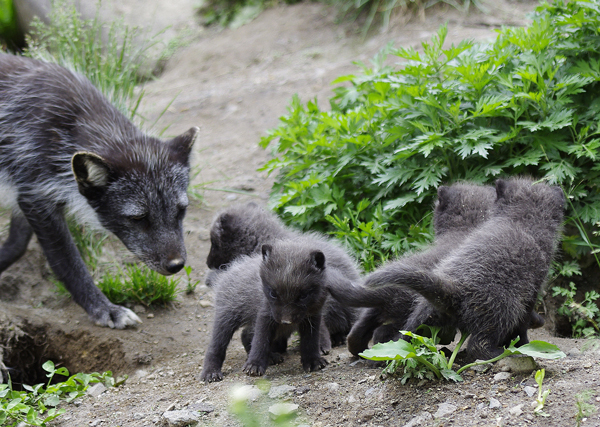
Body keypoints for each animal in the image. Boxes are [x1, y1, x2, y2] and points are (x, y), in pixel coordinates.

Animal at [0, 52, 198, 328]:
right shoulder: (35, 196)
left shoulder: (26, 192)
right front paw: (105, 309)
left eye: (181, 211)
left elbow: (17, 244)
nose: (177, 265)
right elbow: (68, 263)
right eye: (138, 218)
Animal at [202, 236, 360, 382]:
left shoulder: (313, 316)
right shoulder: (266, 314)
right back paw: (211, 372)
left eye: (303, 296)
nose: (286, 321)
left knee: (245, 335)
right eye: (273, 293)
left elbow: (311, 340)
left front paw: (313, 360)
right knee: (216, 346)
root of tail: (231, 268)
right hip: (227, 317)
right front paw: (254, 365)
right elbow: (260, 340)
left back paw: (271, 356)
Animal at [364, 177, 564, 362]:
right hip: (503, 308)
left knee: (404, 336)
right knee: (478, 345)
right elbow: (522, 327)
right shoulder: (532, 289)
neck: (521, 221)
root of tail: (451, 287)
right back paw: (501, 353)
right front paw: (524, 345)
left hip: (420, 320)